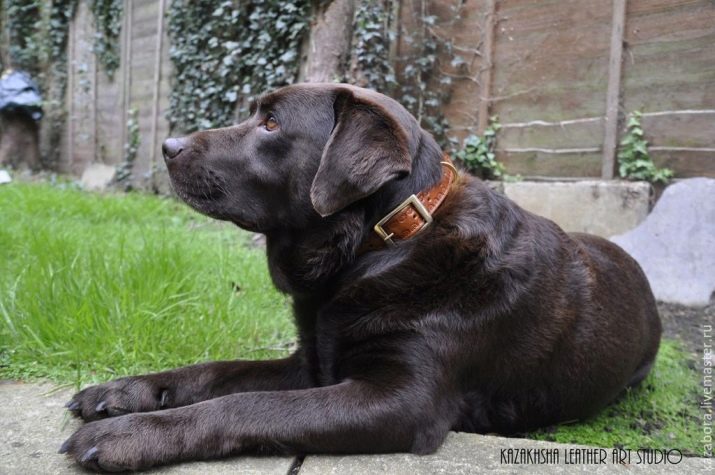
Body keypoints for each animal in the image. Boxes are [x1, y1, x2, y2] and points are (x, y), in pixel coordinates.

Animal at [60, 84, 661, 471]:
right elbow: (214, 372)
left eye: (271, 124)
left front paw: (128, 436)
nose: (168, 147)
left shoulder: (402, 400)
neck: (379, 244)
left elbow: (248, 404)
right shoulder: (310, 364)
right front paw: (124, 392)